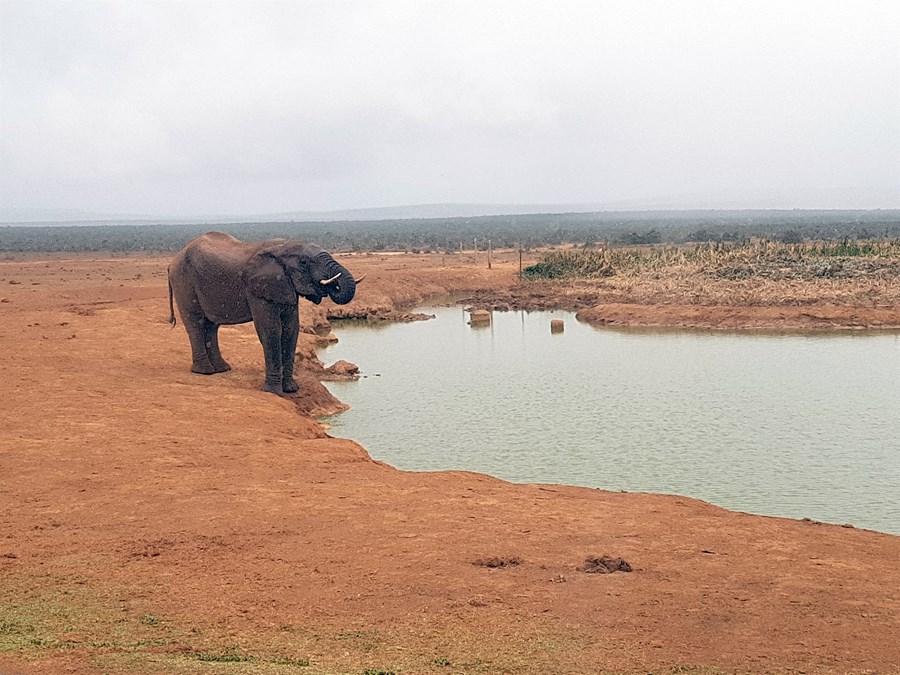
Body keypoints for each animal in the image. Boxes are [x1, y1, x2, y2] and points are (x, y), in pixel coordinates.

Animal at [171, 232, 360, 396]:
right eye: (304, 262)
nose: (332, 285)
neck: (281, 247)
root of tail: (174, 260)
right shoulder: (258, 289)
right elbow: (271, 330)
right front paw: (274, 392)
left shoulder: (286, 287)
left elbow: (291, 330)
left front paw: (291, 389)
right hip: (183, 281)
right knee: (196, 323)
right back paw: (205, 372)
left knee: (211, 326)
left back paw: (221, 369)